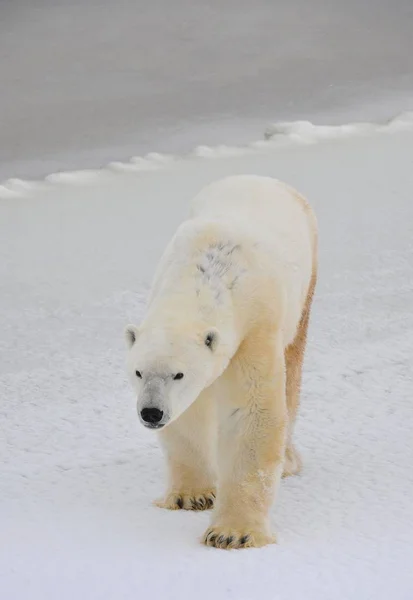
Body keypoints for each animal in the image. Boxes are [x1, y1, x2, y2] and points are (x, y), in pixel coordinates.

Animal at [124, 175, 318, 548]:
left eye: (178, 374)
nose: (151, 412)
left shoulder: (255, 326)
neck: (207, 273)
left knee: (292, 373)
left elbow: (251, 411)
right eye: (138, 372)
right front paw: (192, 496)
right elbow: (189, 414)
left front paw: (233, 533)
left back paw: (288, 461)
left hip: (305, 286)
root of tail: (262, 178)